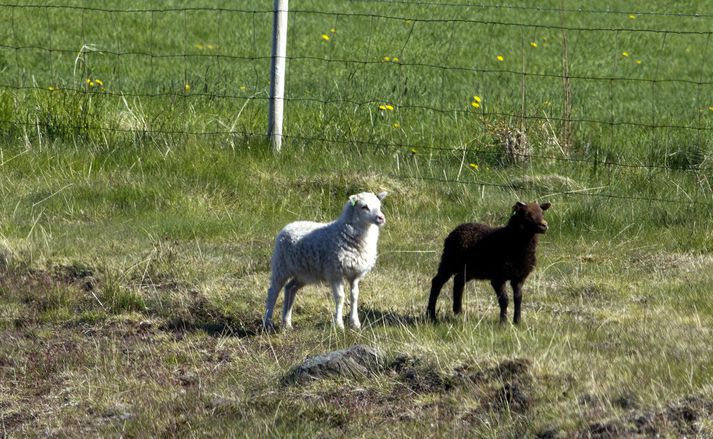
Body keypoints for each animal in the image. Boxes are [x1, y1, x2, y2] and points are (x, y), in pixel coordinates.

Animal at [262, 191, 386, 332]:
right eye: (364, 207)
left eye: (379, 205)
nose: (381, 218)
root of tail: (289, 225)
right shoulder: (335, 272)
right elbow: (340, 297)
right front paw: (339, 324)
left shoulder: (354, 274)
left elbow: (355, 296)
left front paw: (355, 323)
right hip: (281, 266)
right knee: (273, 292)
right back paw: (267, 322)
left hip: (303, 273)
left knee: (290, 288)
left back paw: (287, 323)